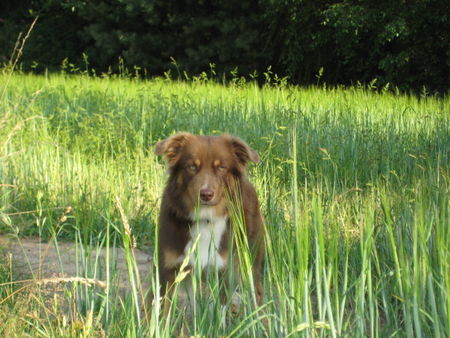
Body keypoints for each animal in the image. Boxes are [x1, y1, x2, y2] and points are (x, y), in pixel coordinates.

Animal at [155, 132, 264, 314]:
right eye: (192, 166)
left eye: (221, 167)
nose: (206, 194)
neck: (204, 219)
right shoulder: (168, 271)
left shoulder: (223, 272)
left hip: (249, 260)